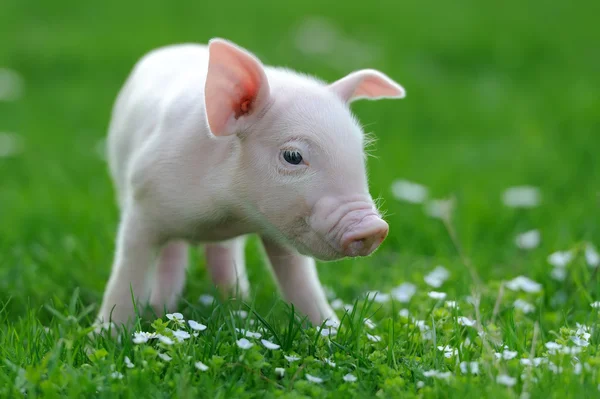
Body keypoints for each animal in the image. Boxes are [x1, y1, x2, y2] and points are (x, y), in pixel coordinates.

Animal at [97, 38, 408, 332]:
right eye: (293, 156)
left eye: (360, 152)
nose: (374, 228)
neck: (228, 214)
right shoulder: (142, 203)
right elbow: (128, 272)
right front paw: (106, 336)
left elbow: (301, 281)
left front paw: (331, 330)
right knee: (172, 253)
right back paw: (163, 308)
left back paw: (234, 300)